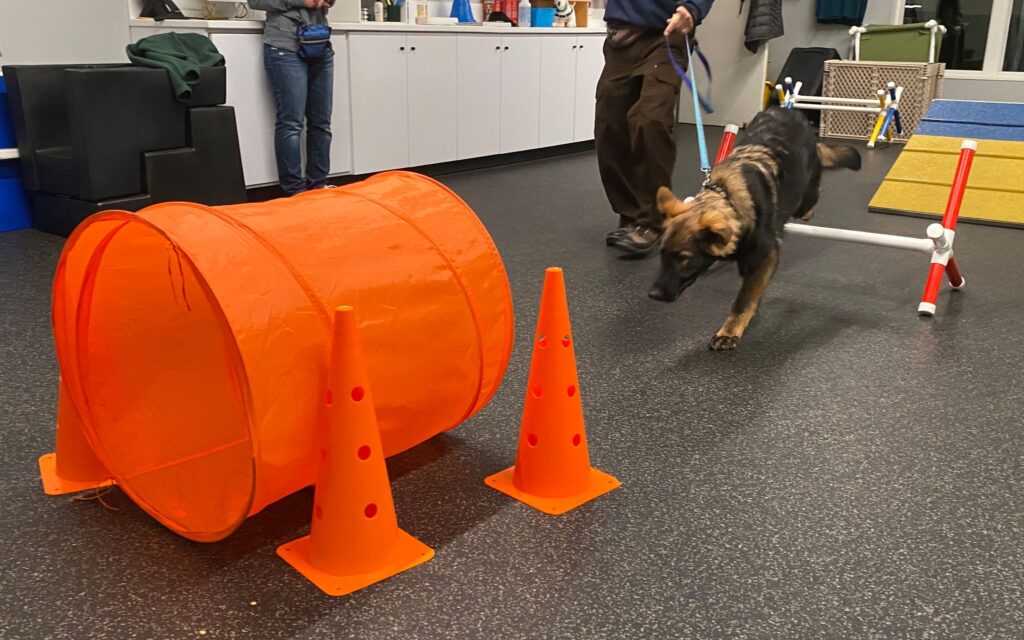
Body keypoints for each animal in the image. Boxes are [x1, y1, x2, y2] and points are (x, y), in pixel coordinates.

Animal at [651, 108, 860, 352]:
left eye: (684, 258)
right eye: (663, 254)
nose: (653, 295)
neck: (726, 197)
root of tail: (788, 109)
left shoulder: (766, 256)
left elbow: (744, 297)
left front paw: (730, 329)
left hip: (806, 196)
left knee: (812, 193)